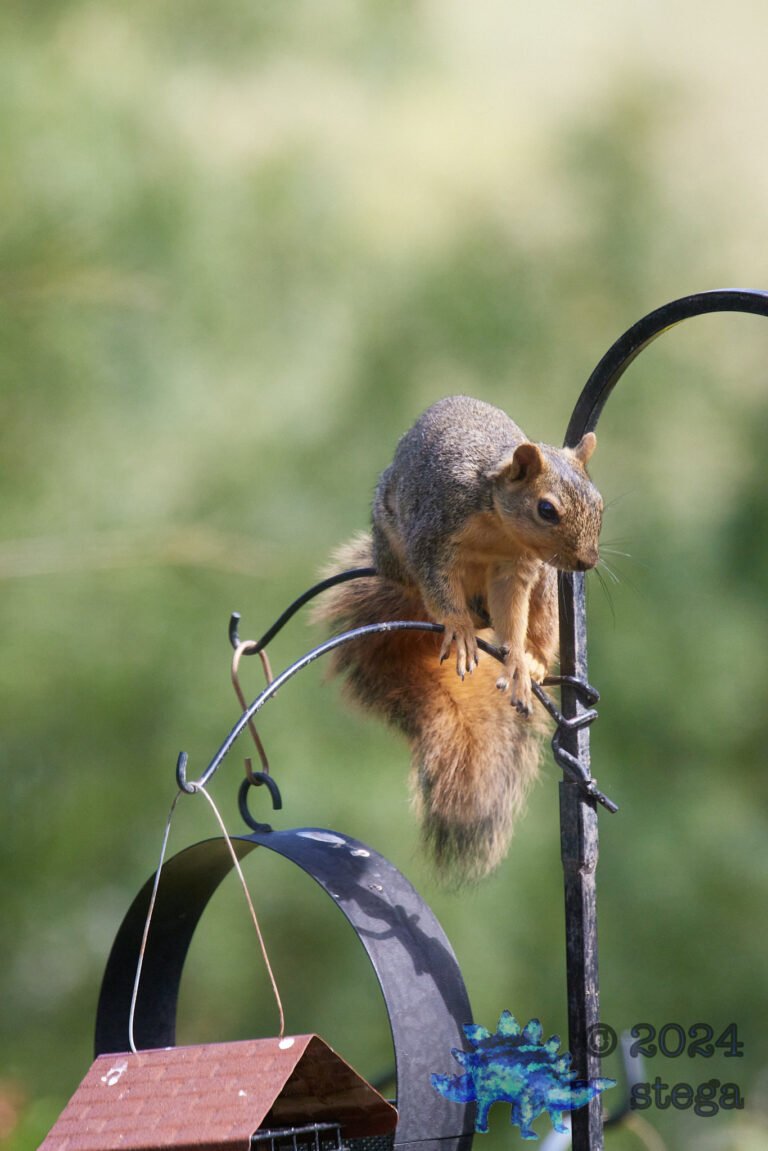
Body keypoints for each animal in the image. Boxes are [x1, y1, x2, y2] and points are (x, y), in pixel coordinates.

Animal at [314, 395, 603, 884]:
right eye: (546, 509)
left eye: (599, 503)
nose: (586, 562)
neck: (497, 519)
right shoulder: (433, 535)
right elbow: (439, 584)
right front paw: (461, 630)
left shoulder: (517, 568)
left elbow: (513, 614)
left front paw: (518, 662)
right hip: (396, 550)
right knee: (428, 593)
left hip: (546, 583)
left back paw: (534, 661)